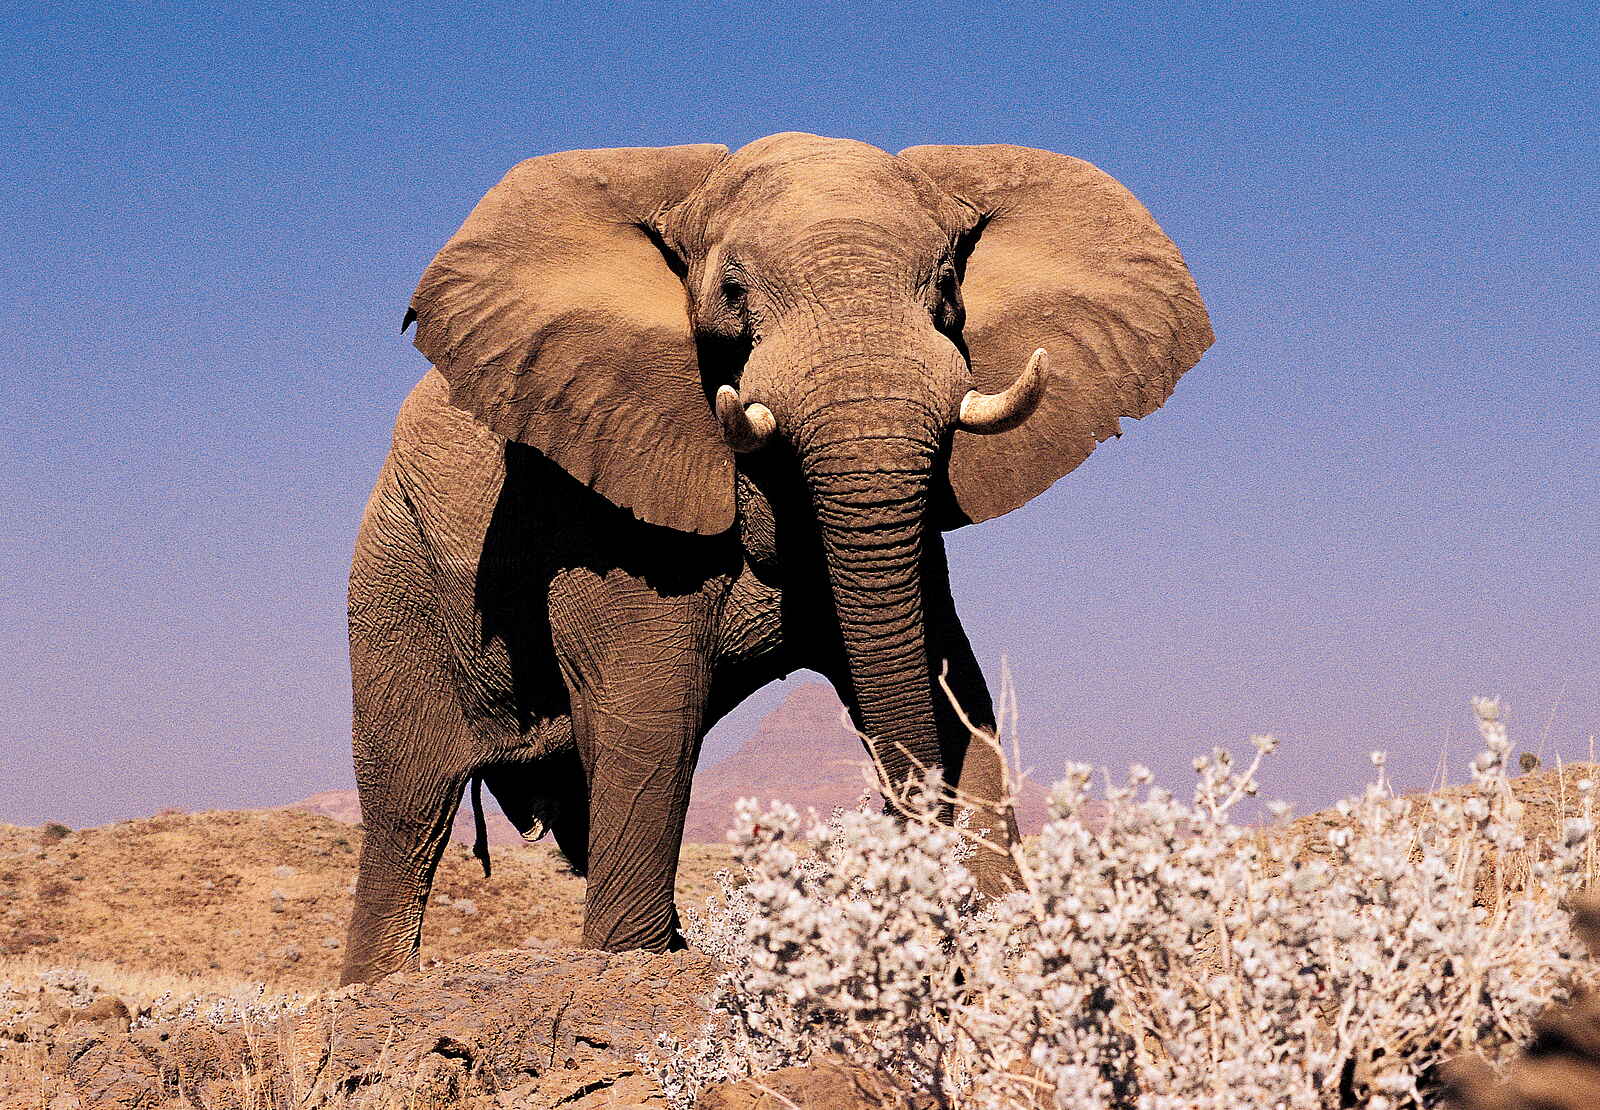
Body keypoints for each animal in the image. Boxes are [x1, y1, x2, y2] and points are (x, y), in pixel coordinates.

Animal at [342, 132, 1212, 985]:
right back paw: (376, 988)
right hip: (395, 578)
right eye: (732, 291)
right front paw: (633, 966)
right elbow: (651, 713)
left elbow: (954, 688)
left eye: (945, 284)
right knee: (408, 810)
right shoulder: (601, 497)